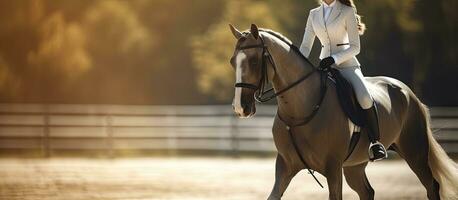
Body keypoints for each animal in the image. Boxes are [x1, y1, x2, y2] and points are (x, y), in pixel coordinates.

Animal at [227, 23, 456, 200]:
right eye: (232, 62)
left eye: (254, 61)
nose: (240, 108)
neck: (301, 109)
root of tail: (408, 92)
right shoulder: (285, 166)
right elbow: (273, 195)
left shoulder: (333, 167)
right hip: (355, 165)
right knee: (367, 192)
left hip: (415, 152)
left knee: (432, 186)